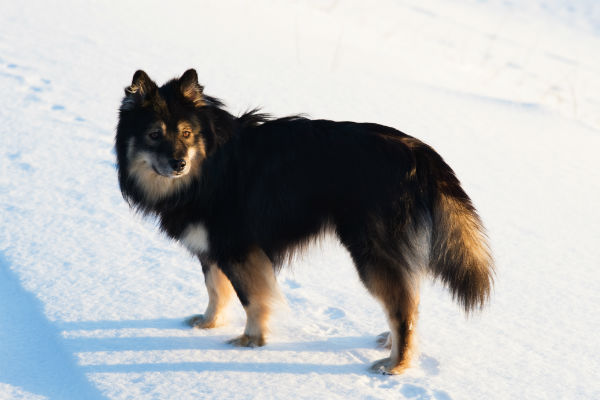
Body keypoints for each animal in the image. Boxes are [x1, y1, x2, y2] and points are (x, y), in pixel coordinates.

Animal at [115, 69, 494, 376]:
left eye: (186, 133)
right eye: (154, 135)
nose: (178, 163)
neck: (209, 169)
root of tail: (420, 153)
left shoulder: (239, 249)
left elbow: (252, 299)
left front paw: (251, 340)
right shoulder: (212, 248)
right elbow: (215, 290)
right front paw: (208, 323)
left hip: (371, 251)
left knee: (403, 309)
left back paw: (396, 365)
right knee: (407, 300)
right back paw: (391, 344)